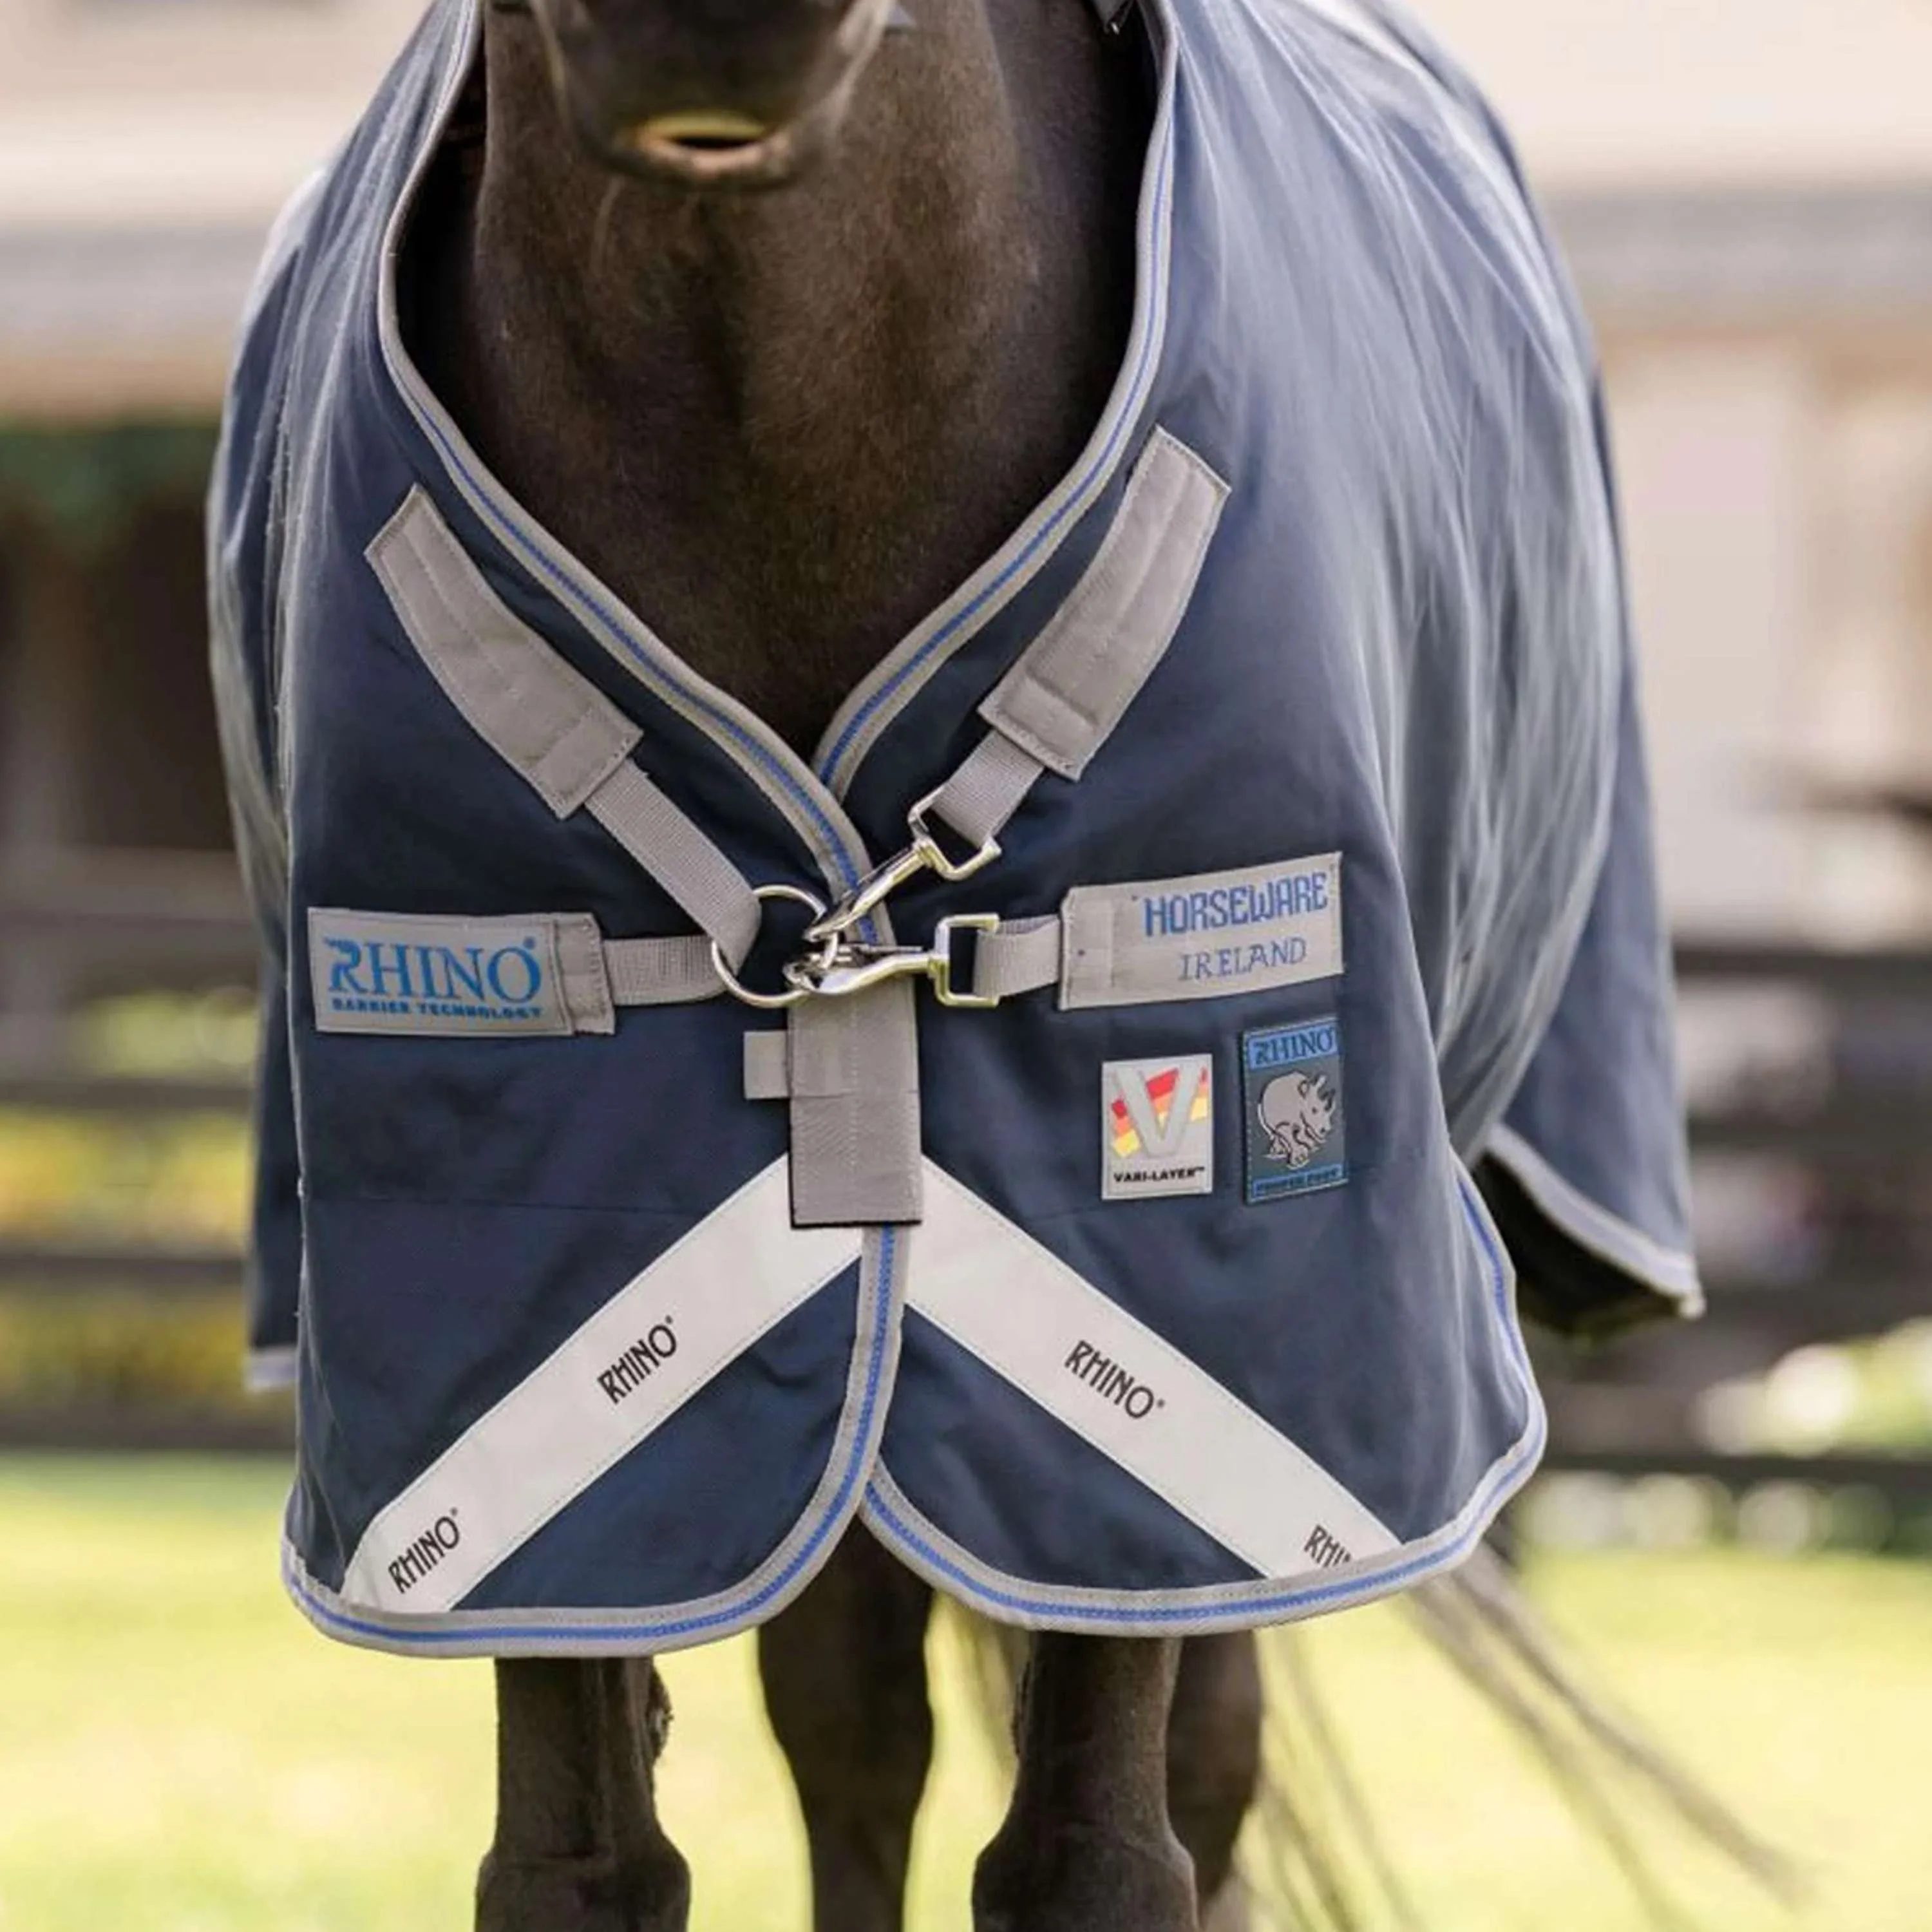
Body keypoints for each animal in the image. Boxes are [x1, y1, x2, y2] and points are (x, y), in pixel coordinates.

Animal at [204, 0, 1758, 1923]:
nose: (705, 29)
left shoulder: (1202, 1329)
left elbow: (1095, 1855)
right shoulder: (488, 1374)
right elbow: (581, 1859)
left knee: (1195, 1759)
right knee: (855, 1726)